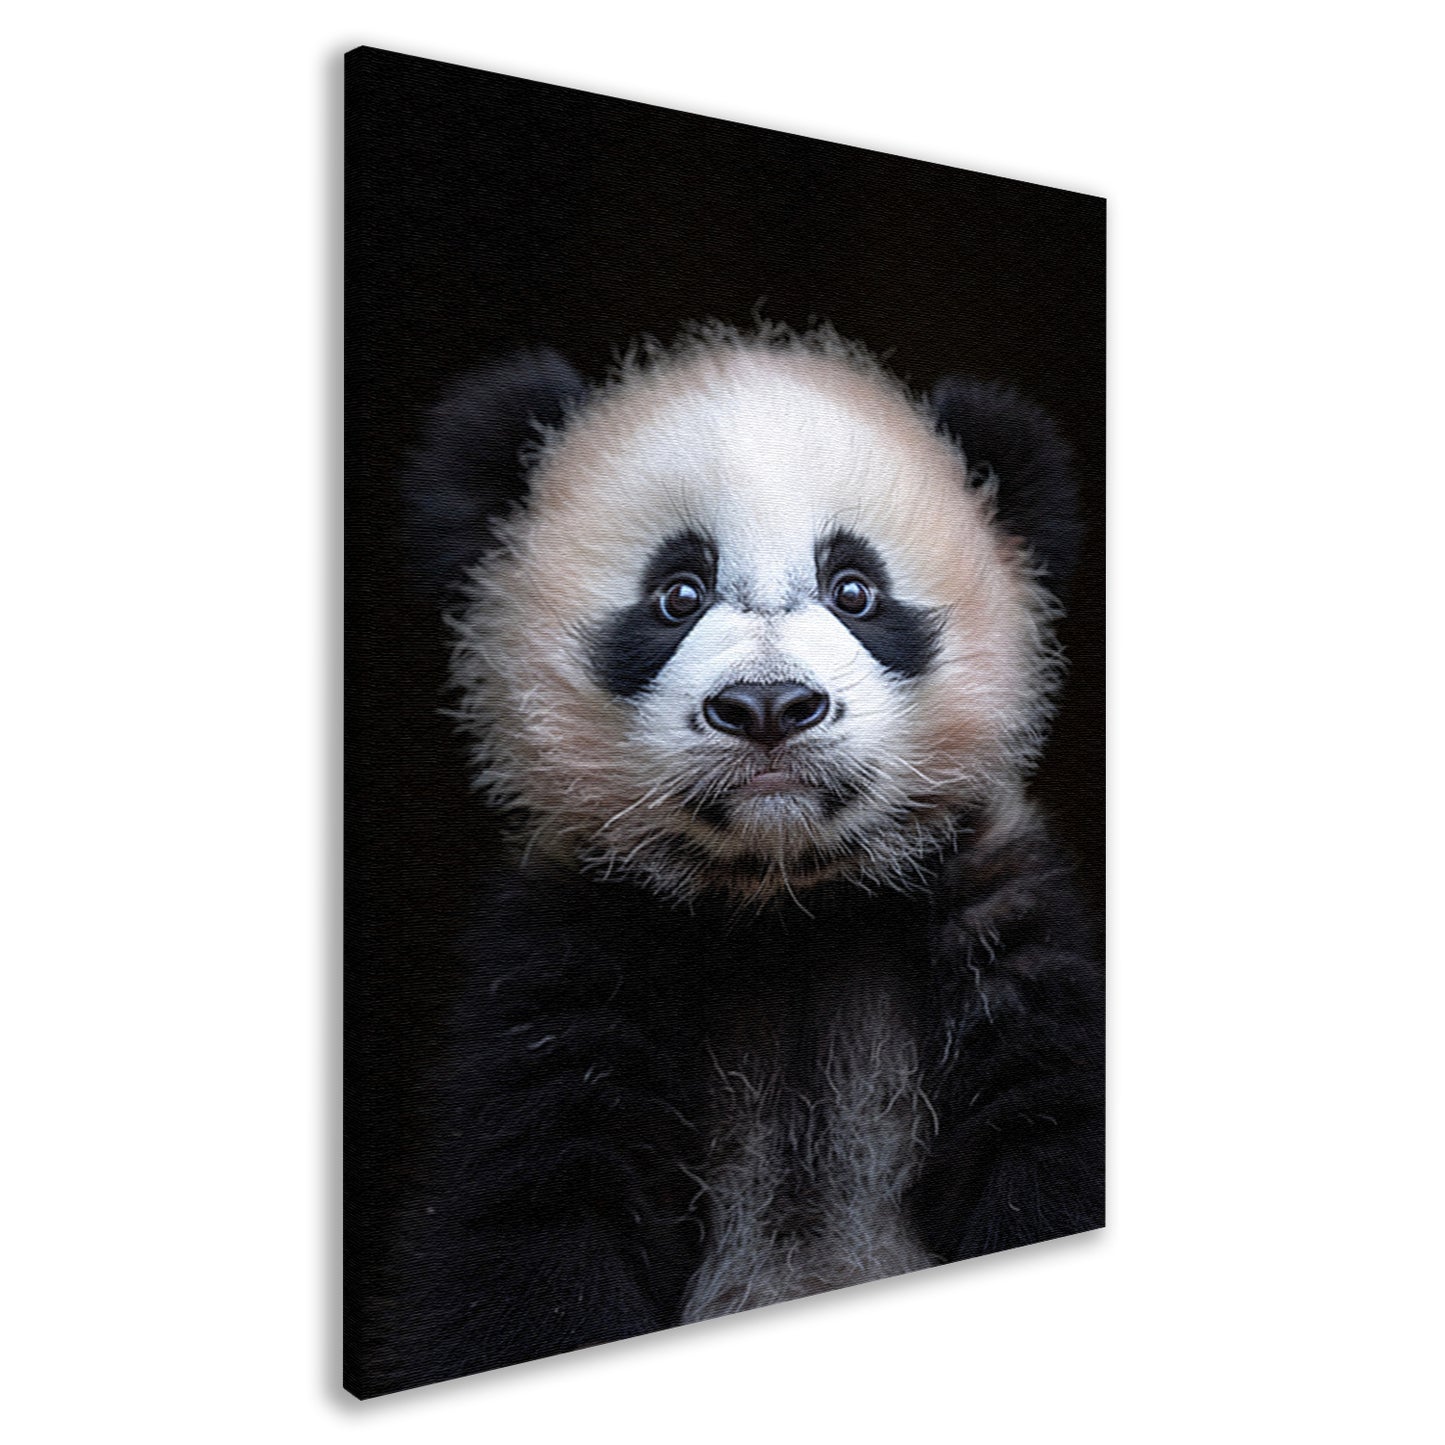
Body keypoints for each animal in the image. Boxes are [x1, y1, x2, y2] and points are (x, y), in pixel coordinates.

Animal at [374, 322, 1102, 1394]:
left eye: (855, 590)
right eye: (677, 594)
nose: (766, 705)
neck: (785, 904)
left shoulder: (998, 935)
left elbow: (1052, 1133)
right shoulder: (568, 962)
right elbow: (528, 1232)